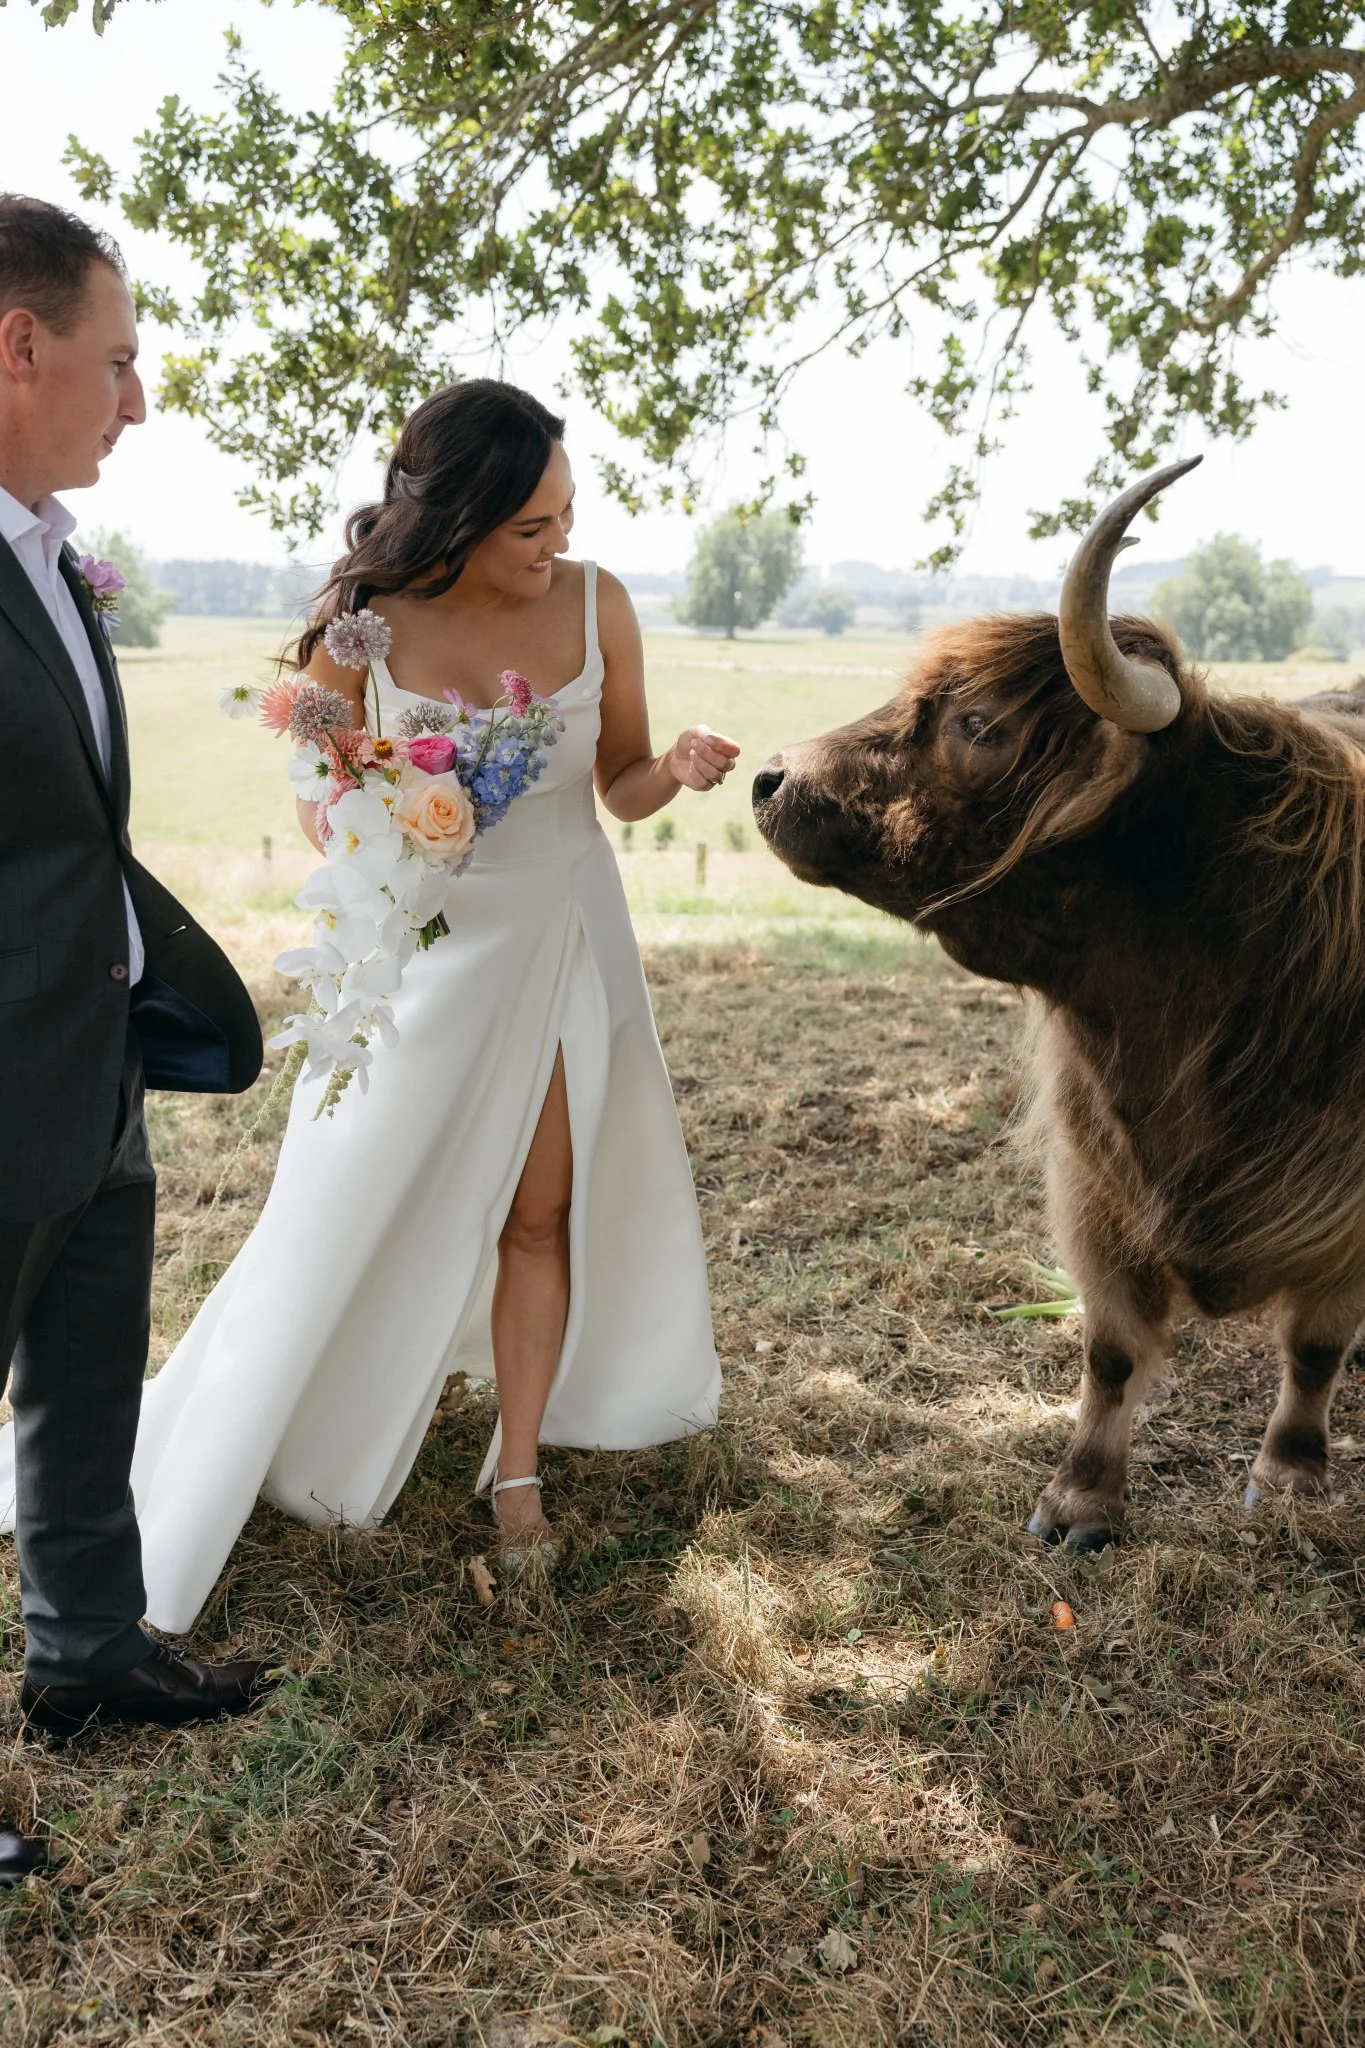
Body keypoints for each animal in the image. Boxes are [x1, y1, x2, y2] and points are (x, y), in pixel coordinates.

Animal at [753, 457, 1365, 1549]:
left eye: (977, 723)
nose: (771, 778)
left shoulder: (1344, 1213)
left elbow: (1315, 1345)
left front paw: (1290, 1474)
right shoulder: (1094, 1183)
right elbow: (1111, 1351)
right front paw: (1079, 1498)